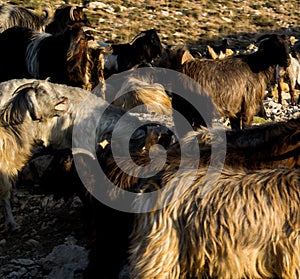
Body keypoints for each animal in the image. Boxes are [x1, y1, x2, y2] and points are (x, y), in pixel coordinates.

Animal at [0, 81, 68, 232]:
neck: (11, 131)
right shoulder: (4, 172)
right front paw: (13, 225)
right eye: (42, 90)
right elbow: (5, 198)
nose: (64, 99)